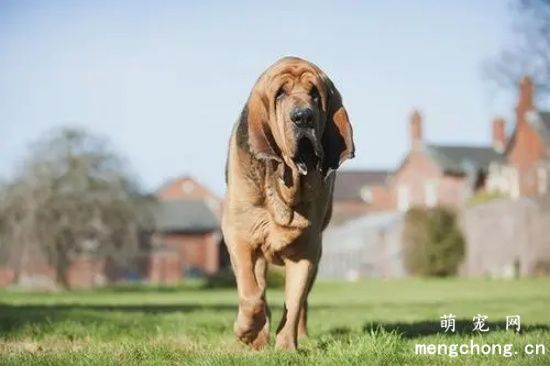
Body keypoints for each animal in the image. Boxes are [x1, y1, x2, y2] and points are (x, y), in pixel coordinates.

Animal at [222, 56, 356, 348]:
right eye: (280, 94)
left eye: (315, 94)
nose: (303, 116)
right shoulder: (240, 238)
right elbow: (251, 295)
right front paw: (246, 331)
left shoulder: (306, 252)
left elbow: (293, 304)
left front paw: (286, 348)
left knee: (302, 302)